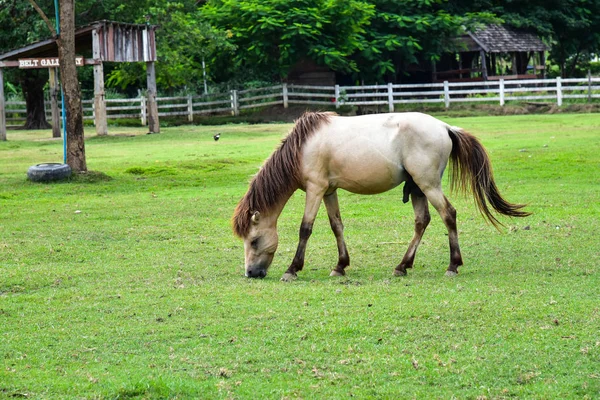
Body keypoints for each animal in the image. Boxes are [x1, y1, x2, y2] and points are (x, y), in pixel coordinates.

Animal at [232, 111, 532, 280]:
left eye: (255, 241)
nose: (251, 274)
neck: (302, 147)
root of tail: (445, 127)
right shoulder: (329, 191)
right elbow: (336, 226)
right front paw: (340, 266)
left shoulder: (316, 189)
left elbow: (305, 229)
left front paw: (292, 269)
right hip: (417, 188)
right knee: (422, 222)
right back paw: (402, 265)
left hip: (428, 184)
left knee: (449, 215)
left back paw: (452, 265)